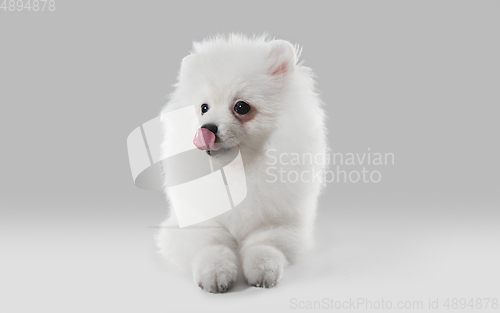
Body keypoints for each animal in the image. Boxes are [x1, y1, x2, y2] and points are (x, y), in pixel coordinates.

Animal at [157, 34, 328, 292]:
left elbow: (264, 243)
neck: (237, 171)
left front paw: (263, 269)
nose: (207, 129)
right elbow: (212, 242)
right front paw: (215, 272)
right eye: (203, 108)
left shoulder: (282, 224)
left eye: (241, 107)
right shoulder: (194, 221)